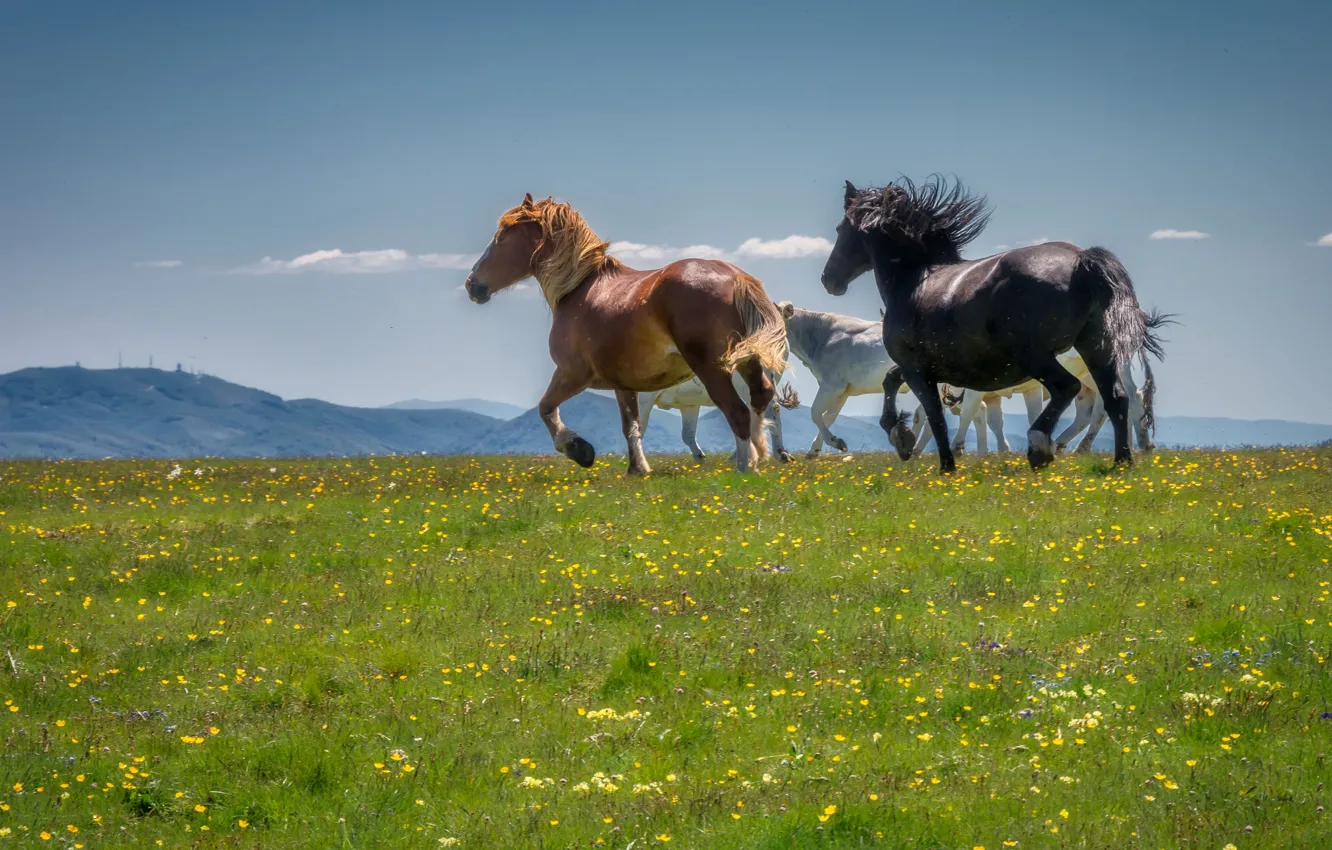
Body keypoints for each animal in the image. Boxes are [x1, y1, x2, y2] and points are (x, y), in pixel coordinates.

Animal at [639, 372, 800, 462]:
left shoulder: (644, 397)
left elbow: (638, 430)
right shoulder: (689, 404)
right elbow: (688, 434)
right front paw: (700, 457)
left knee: (769, 410)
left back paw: (779, 453)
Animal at [820, 175, 1170, 472]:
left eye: (839, 228)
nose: (829, 280)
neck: (915, 280)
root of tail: (1083, 261)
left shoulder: (917, 370)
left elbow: (934, 415)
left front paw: (944, 465)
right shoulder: (926, 368)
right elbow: (891, 382)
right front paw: (902, 437)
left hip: (1036, 356)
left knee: (1067, 388)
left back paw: (1040, 448)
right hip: (1096, 348)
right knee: (1116, 399)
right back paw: (1121, 462)